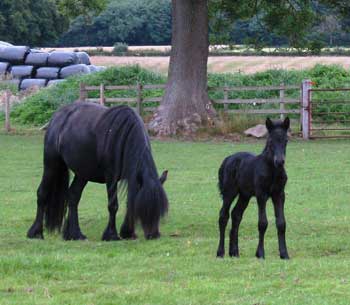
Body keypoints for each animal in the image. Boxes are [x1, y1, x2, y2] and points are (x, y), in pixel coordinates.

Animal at [27, 102, 168, 240]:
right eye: (144, 209)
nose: (153, 235)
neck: (123, 137)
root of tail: (57, 116)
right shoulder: (111, 177)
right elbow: (113, 205)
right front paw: (111, 235)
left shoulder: (131, 177)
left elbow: (130, 202)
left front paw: (127, 232)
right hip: (52, 164)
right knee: (42, 193)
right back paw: (36, 232)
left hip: (82, 173)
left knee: (73, 196)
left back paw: (75, 234)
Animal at [216, 117, 290, 258]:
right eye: (270, 141)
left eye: (286, 140)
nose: (279, 161)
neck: (272, 170)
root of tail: (228, 159)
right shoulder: (261, 195)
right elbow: (262, 223)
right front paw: (260, 253)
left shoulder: (279, 195)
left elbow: (281, 223)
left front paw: (284, 254)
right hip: (230, 192)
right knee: (223, 215)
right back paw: (220, 252)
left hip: (244, 195)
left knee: (236, 215)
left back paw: (234, 252)